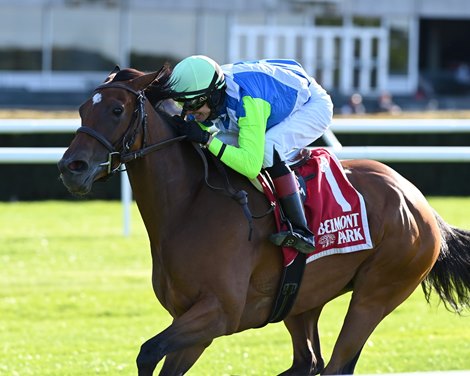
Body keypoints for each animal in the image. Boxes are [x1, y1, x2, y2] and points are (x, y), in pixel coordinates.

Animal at [57, 66, 470, 374]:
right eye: (81, 109)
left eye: (116, 110)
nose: (71, 168)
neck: (189, 206)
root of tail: (420, 203)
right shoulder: (192, 322)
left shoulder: (218, 314)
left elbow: (147, 352)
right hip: (301, 298)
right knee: (308, 362)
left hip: (377, 292)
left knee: (336, 364)